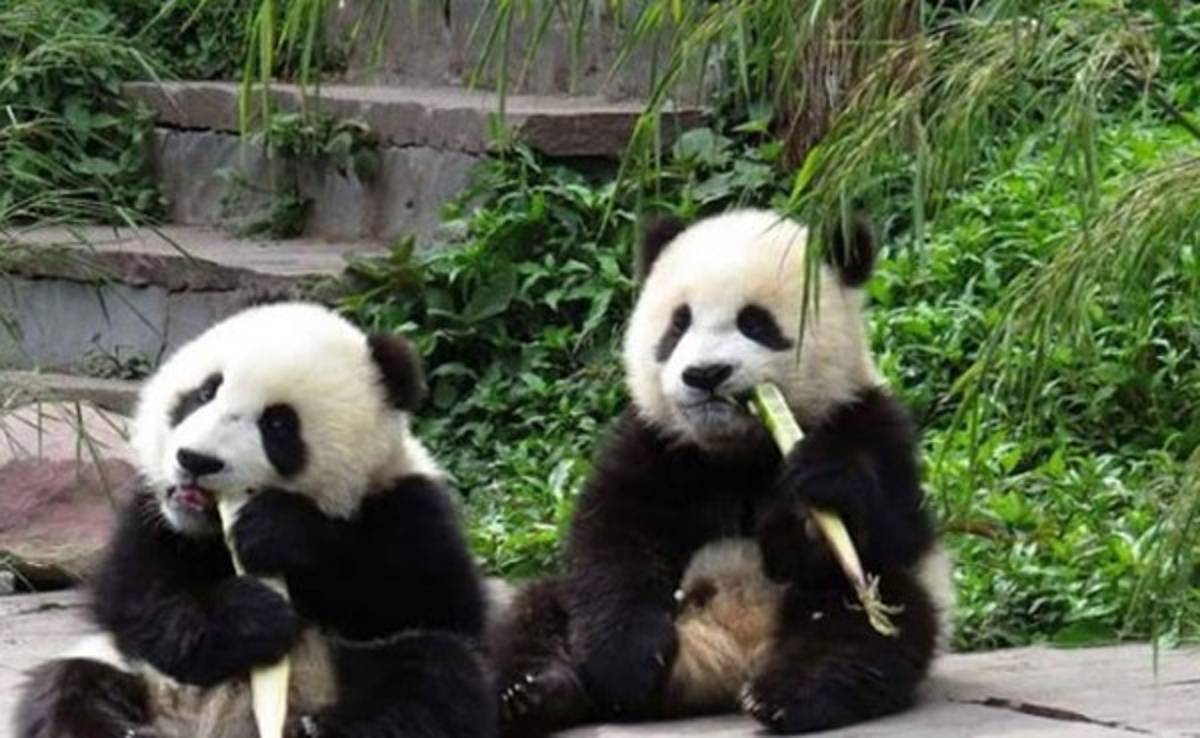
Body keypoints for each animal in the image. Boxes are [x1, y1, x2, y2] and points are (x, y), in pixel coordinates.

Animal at [15, 302, 496, 738]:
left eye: (278, 424)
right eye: (204, 393)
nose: (195, 460)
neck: (210, 531)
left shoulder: (408, 504)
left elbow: (435, 601)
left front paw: (278, 530)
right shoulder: (154, 517)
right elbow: (134, 597)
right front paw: (253, 615)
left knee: (432, 676)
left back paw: (321, 730)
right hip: (140, 678)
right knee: (67, 686)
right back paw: (125, 729)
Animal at [490, 209, 952, 735]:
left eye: (756, 323)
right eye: (678, 324)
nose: (705, 374)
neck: (739, 447)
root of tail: (724, 658)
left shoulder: (868, 420)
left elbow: (892, 530)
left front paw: (817, 489)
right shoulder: (656, 441)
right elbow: (614, 539)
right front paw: (625, 664)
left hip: (867, 603)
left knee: (871, 623)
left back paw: (787, 695)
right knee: (536, 612)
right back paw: (531, 694)